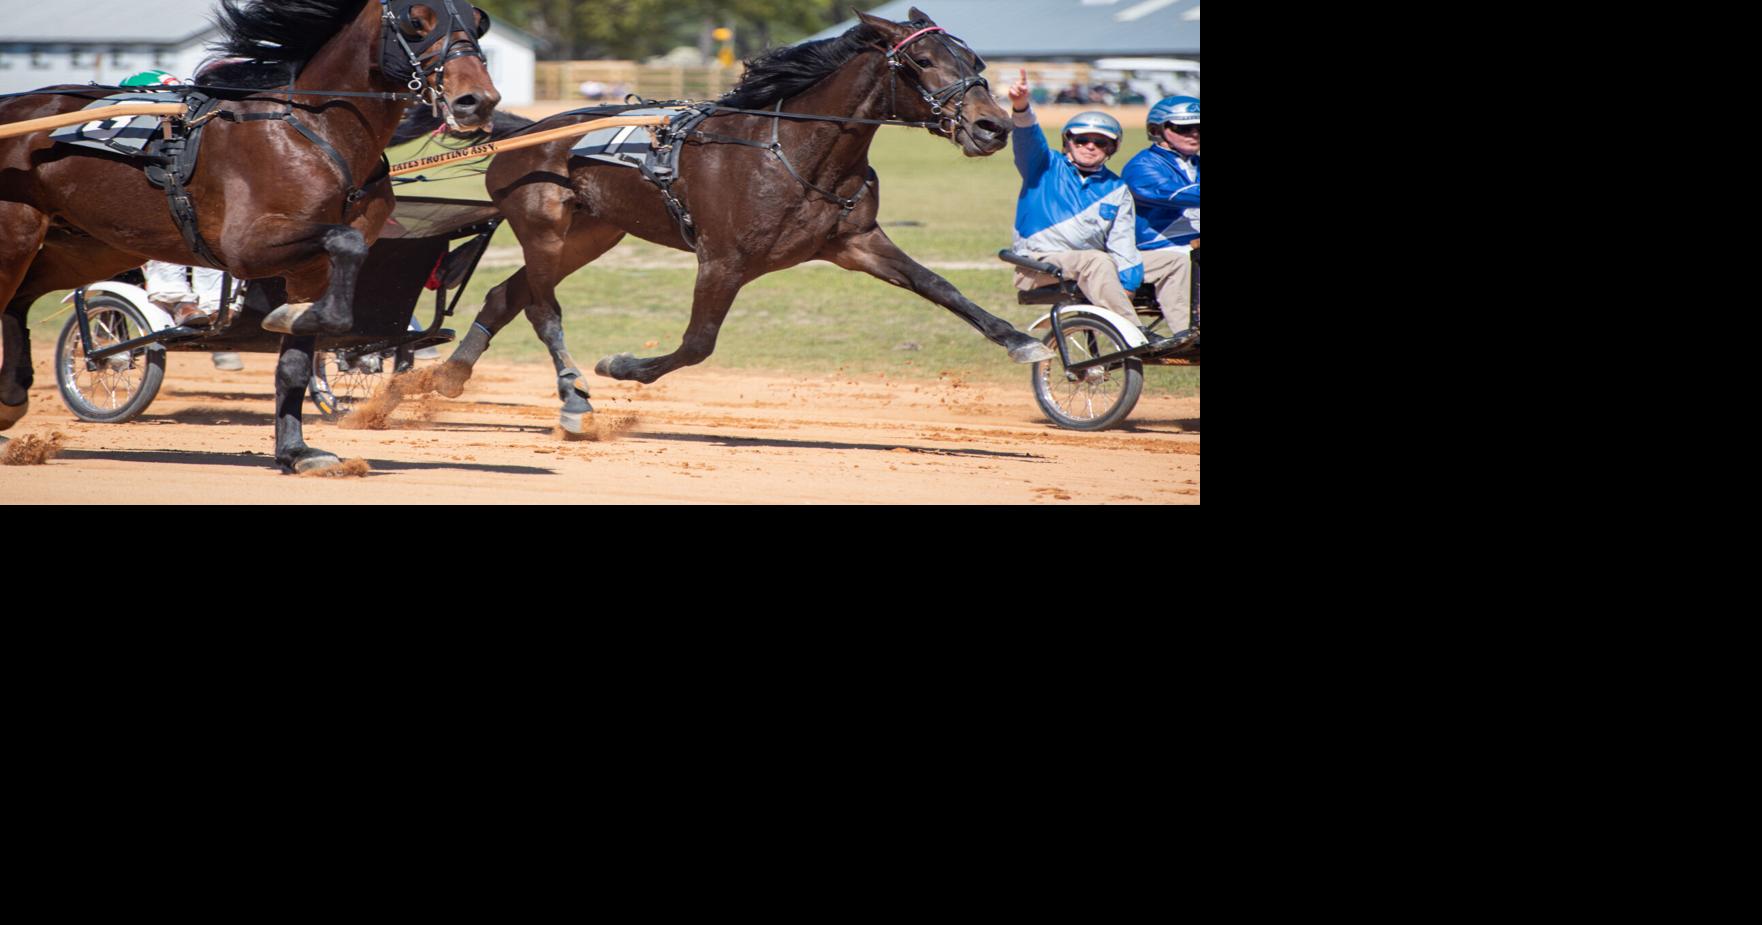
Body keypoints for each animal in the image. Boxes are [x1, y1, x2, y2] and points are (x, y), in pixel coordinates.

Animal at [0, 0, 499, 472]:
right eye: (417, 19)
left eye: (478, 22)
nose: (478, 100)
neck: (314, 130)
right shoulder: (247, 246)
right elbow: (347, 243)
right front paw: (289, 320)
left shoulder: (310, 268)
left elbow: (297, 361)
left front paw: (295, 451)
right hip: (18, 236)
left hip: (88, 247)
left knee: (19, 302)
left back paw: (12, 399)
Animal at [396, 7, 1053, 433]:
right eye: (921, 59)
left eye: (974, 59)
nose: (993, 126)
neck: (790, 149)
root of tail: (530, 132)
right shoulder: (723, 260)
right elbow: (696, 344)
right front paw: (622, 366)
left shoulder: (855, 241)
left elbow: (940, 286)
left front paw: (1020, 341)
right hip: (544, 230)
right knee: (540, 307)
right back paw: (573, 397)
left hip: (592, 234)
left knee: (507, 296)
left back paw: (447, 378)